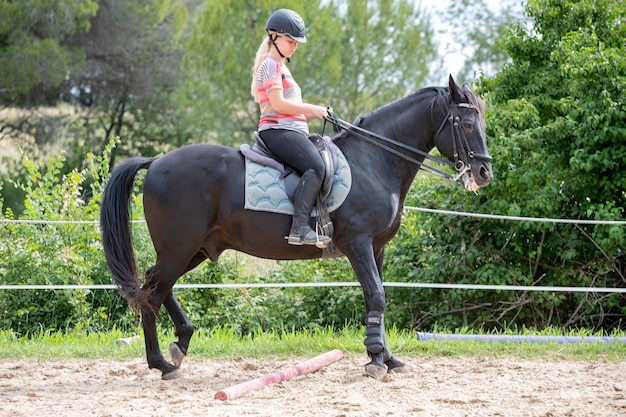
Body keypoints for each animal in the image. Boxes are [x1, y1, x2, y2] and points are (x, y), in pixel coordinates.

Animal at [100, 75, 490, 380]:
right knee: (151, 292)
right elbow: (376, 295)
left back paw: (179, 344)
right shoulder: (359, 244)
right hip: (179, 247)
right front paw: (376, 360)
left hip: (192, 249)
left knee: (156, 287)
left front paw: (386, 357)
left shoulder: (377, 247)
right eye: (467, 123)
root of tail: (156, 161)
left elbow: (378, 298)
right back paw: (162, 363)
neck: (374, 162)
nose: (484, 172)